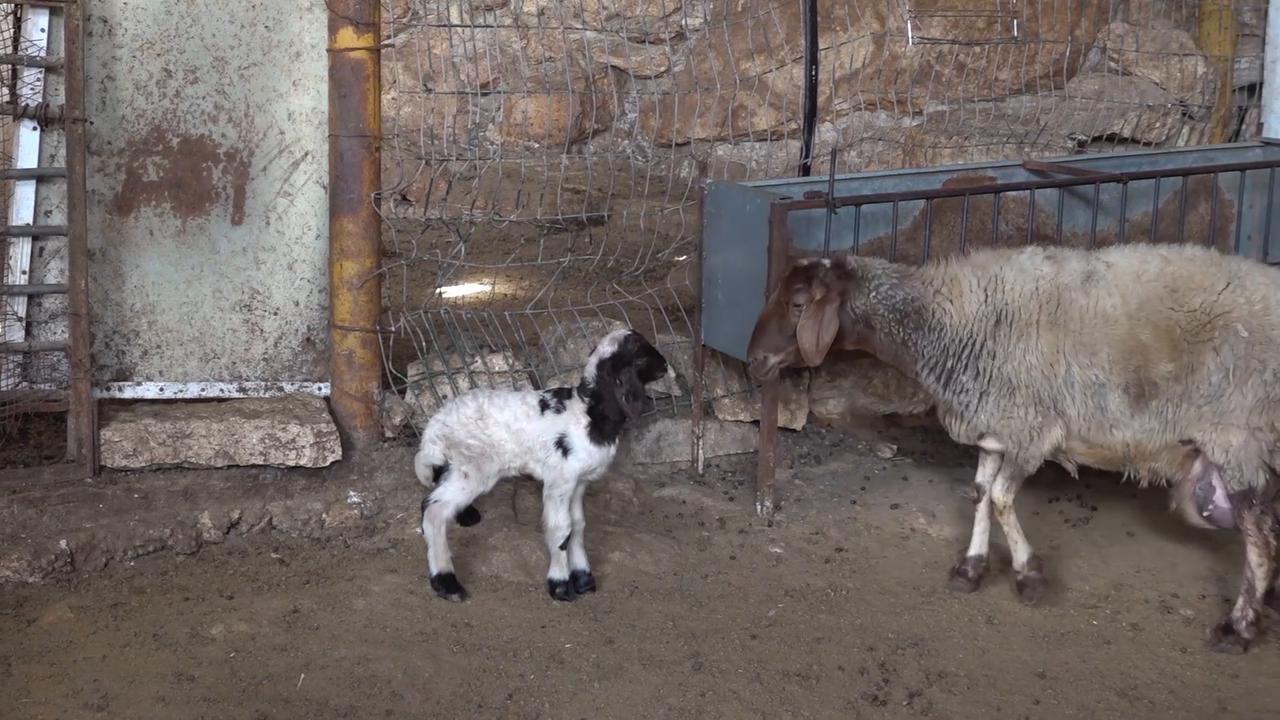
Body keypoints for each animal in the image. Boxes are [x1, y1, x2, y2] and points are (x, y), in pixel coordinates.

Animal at [414, 328, 673, 602]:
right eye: (640, 355)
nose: (665, 365)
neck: (590, 412)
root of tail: (434, 427)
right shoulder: (560, 479)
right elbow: (561, 528)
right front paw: (560, 585)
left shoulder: (579, 482)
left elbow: (578, 524)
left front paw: (583, 577)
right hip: (473, 468)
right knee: (433, 510)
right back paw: (446, 582)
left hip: (457, 466)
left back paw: (466, 515)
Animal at [745, 243, 1280, 654]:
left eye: (798, 305)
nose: (753, 362)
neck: (949, 322)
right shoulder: (995, 423)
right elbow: (981, 494)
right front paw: (971, 568)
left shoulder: (1030, 428)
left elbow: (1002, 498)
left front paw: (1029, 576)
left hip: (1239, 437)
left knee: (1258, 536)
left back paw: (1238, 627)